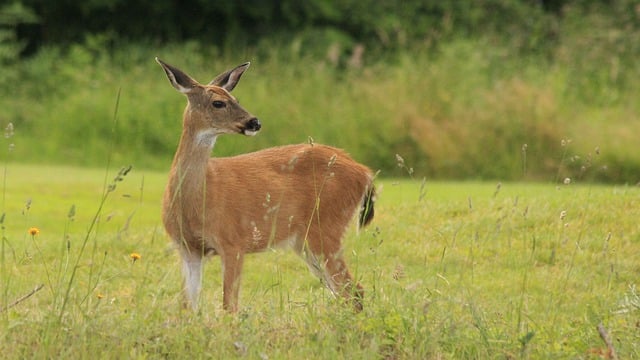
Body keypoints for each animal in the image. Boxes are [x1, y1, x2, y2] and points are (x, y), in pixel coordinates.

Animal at [155, 58, 376, 312]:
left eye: (236, 99)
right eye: (218, 102)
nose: (254, 122)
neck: (195, 200)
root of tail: (364, 172)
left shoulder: (233, 241)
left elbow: (229, 305)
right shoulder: (188, 249)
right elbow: (187, 306)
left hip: (327, 227)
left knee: (352, 289)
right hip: (305, 241)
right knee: (345, 290)